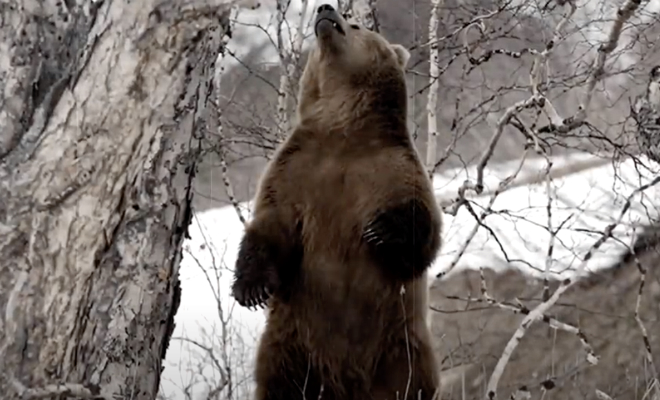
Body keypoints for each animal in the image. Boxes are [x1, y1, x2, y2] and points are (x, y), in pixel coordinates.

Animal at [232, 3, 444, 400]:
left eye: (357, 24)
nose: (325, 11)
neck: (344, 130)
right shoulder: (296, 171)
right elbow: (271, 225)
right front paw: (249, 289)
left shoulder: (392, 167)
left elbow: (423, 229)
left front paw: (379, 231)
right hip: (292, 347)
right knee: (280, 382)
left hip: (401, 350)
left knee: (411, 384)